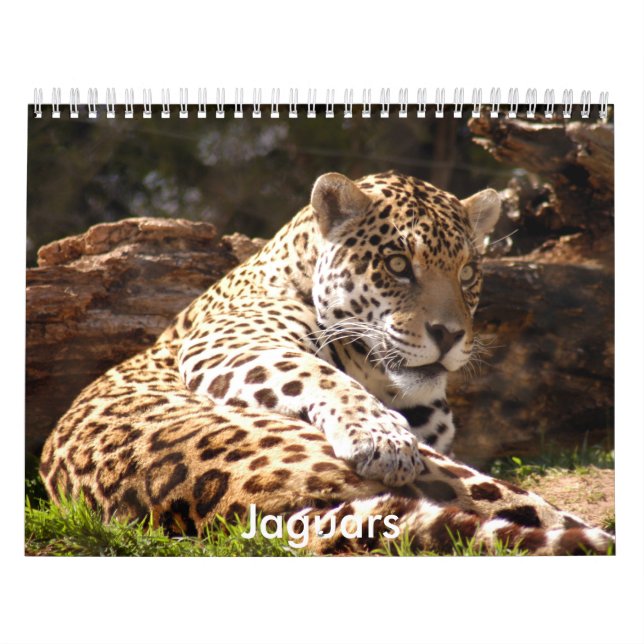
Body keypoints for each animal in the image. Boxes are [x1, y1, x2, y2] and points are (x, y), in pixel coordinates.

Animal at [39, 170, 614, 555]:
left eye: (468, 272)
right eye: (398, 264)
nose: (450, 335)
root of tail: (227, 505)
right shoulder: (228, 342)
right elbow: (318, 373)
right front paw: (383, 440)